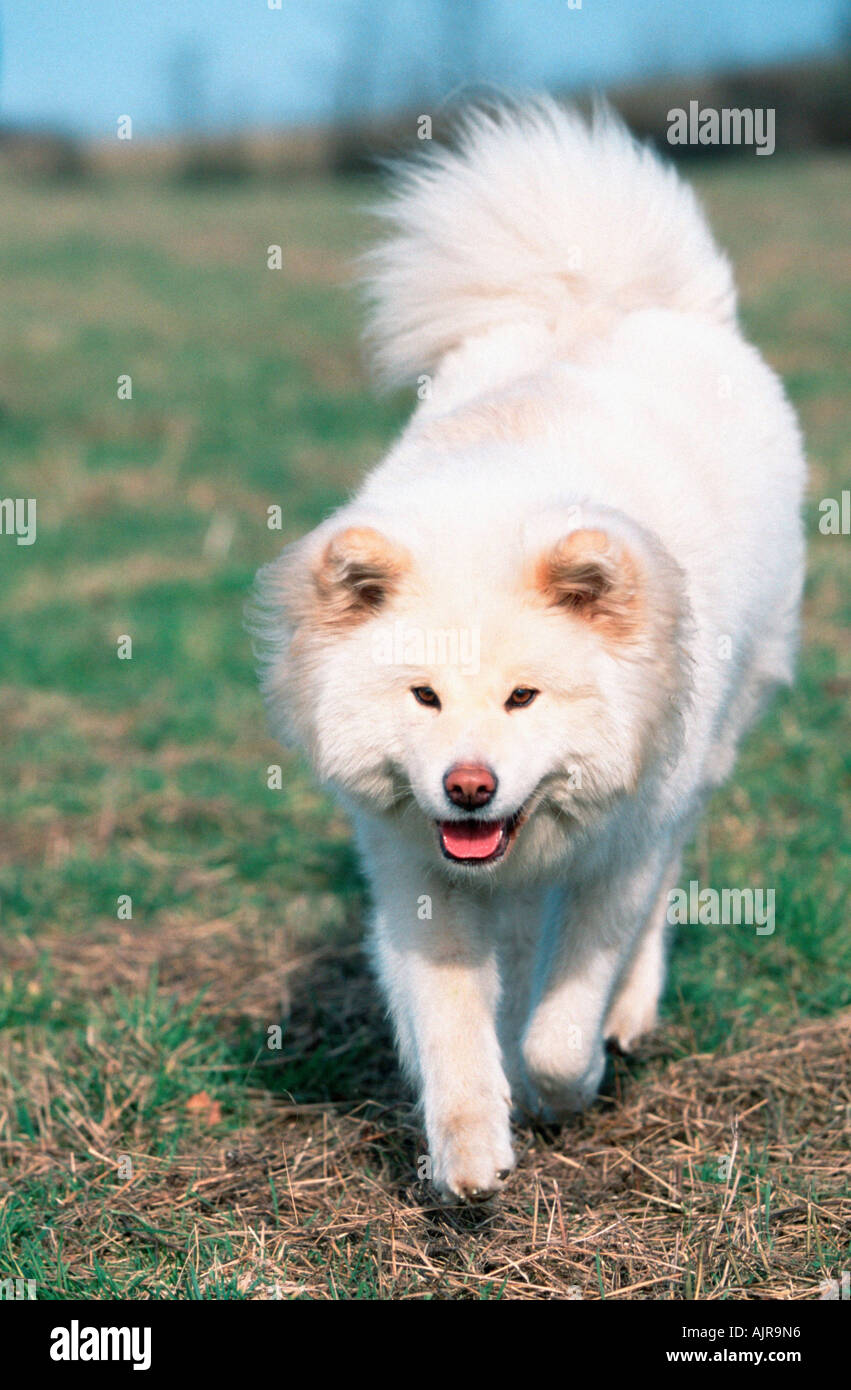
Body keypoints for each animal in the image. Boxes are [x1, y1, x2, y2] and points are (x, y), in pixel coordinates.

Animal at [250, 102, 806, 1200]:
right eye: (422, 697)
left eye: (522, 699)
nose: (467, 786)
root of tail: (607, 298)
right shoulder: (420, 873)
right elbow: (454, 1028)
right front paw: (468, 1149)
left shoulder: (618, 854)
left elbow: (564, 1012)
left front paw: (565, 1081)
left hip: (704, 756)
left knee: (651, 907)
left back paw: (625, 1020)